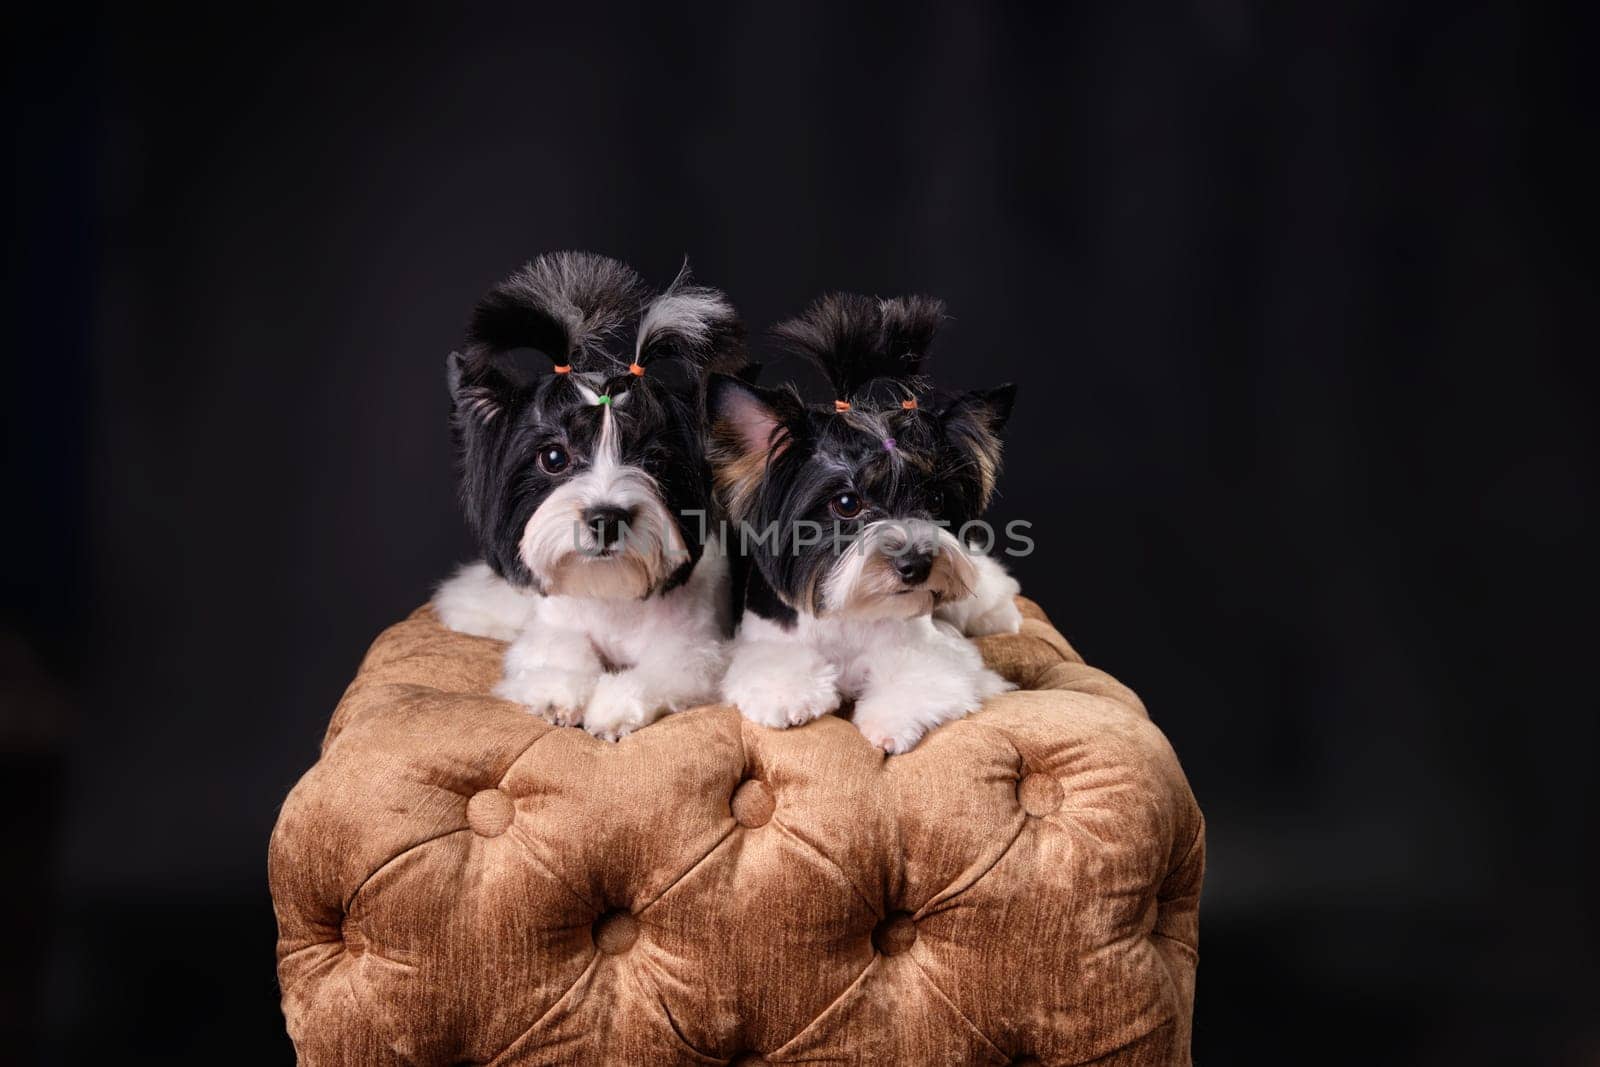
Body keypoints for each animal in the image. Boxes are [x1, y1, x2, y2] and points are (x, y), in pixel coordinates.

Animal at [432, 251, 742, 739]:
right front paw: (558, 693)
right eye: (554, 457)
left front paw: (612, 706)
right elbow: (556, 650)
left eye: (655, 462)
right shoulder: (553, 626)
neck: (610, 594)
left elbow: (662, 671)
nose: (606, 518)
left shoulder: (693, 649)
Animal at [710, 295, 1024, 755]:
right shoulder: (764, 640)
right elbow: (776, 666)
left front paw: (890, 722)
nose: (917, 565)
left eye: (934, 499)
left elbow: (920, 677)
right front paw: (788, 697)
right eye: (846, 503)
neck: (853, 611)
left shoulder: (930, 650)